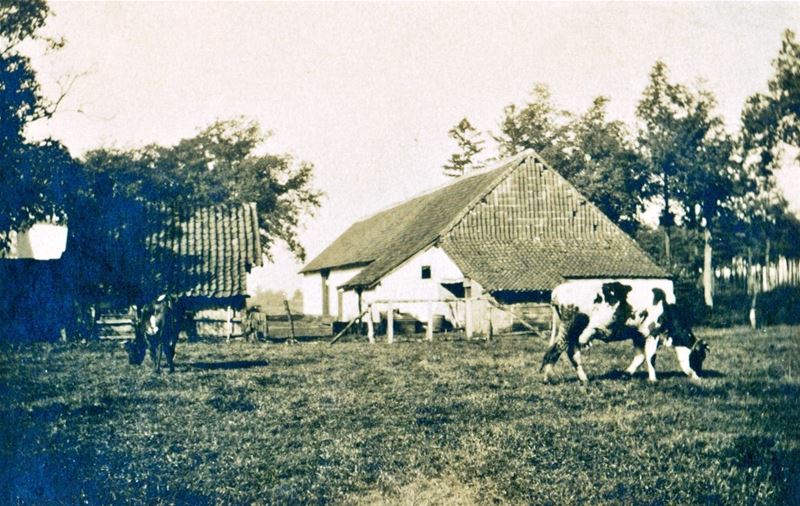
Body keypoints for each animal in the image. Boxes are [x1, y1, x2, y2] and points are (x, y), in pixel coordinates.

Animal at [540, 280, 708, 384]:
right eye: (699, 357)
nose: (699, 377)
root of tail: (558, 291)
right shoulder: (652, 333)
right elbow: (651, 357)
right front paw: (653, 379)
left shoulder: (638, 335)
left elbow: (640, 357)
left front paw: (625, 374)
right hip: (570, 328)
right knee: (556, 350)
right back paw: (548, 378)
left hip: (573, 333)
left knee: (572, 354)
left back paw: (584, 379)